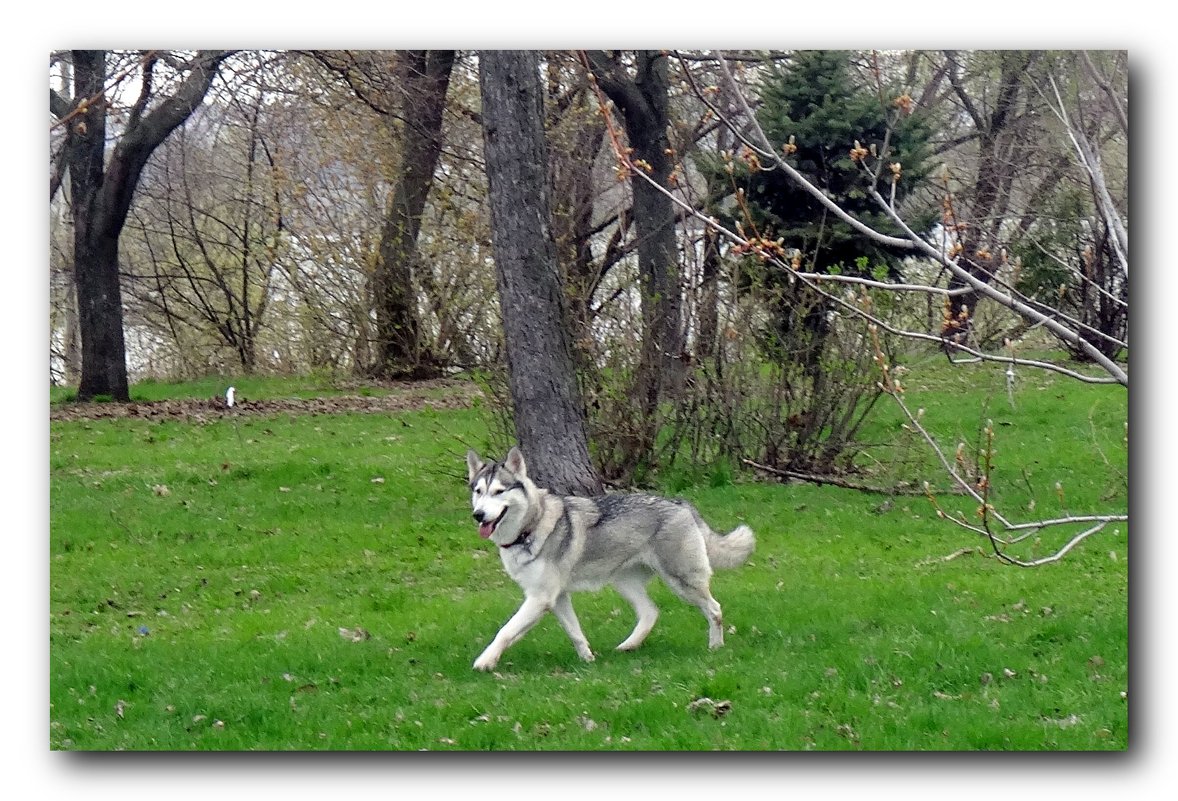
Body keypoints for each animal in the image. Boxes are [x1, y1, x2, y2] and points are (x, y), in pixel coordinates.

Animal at [466, 447, 753, 673]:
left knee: (714, 609)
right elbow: (574, 632)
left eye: (499, 491)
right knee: (651, 612)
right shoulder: (557, 598)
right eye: (478, 491)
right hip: (624, 583)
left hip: (682, 582)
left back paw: (715, 646)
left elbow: (505, 630)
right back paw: (629, 645)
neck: (530, 527)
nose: (478, 515)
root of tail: (679, 503)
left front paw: (485, 661)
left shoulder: (540, 598)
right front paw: (587, 660)